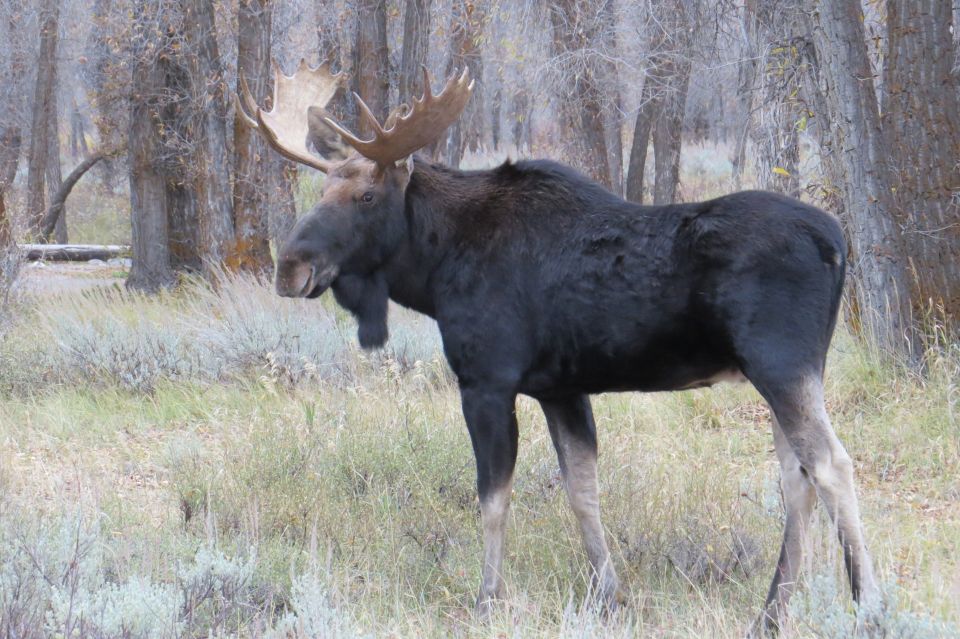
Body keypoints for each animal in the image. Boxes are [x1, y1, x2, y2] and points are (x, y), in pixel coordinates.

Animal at [236, 61, 880, 636]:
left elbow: (494, 498)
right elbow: (582, 491)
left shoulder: (486, 382)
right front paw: (610, 597)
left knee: (833, 465)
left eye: (367, 196)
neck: (435, 267)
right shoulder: (561, 389)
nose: (290, 267)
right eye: (324, 187)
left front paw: (488, 600)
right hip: (780, 374)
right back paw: (770, 615)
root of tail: (837, 242)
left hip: (781, 364)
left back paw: (868, 607)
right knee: (797, 478)